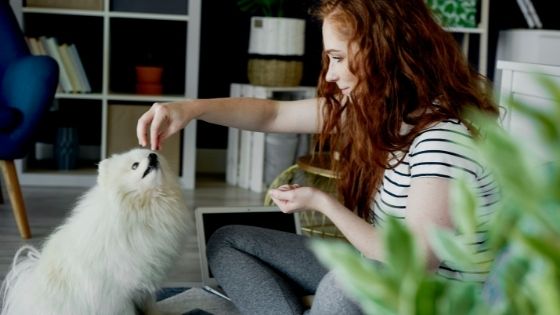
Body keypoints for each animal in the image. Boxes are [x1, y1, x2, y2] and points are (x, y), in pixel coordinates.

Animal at [0, 149, 190, 315]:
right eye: (134, 165)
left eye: (154, 154)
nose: (152, 156)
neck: (143, 208)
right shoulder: (116, 292)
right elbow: (126, 311)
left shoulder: (145, 282)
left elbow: (151, 306)